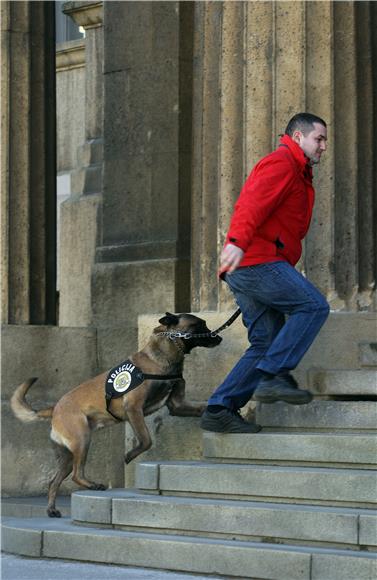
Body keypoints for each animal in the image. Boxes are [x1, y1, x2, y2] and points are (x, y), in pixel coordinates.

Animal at [11, 312, 220, 516]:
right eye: (199, 325)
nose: (219, 337)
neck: (161, 356)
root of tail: (55, 408)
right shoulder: (133, 408)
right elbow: (146, 440)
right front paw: (129, 455)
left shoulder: (177, 405)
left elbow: (201, 408)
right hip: (82, 440)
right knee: (77, 474)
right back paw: (93, 485)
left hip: (68, 456)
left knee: (54, 481)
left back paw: (52, 509)